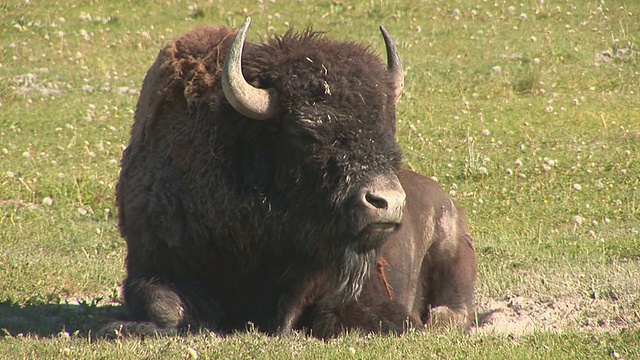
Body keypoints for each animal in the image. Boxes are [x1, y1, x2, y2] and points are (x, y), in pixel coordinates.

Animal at [102, 16, 478, 338]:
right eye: (304, 132)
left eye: (388, 124)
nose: (387, 202)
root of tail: (445, 202)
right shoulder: (153, 263)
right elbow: (163, 305)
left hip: (450, 248)